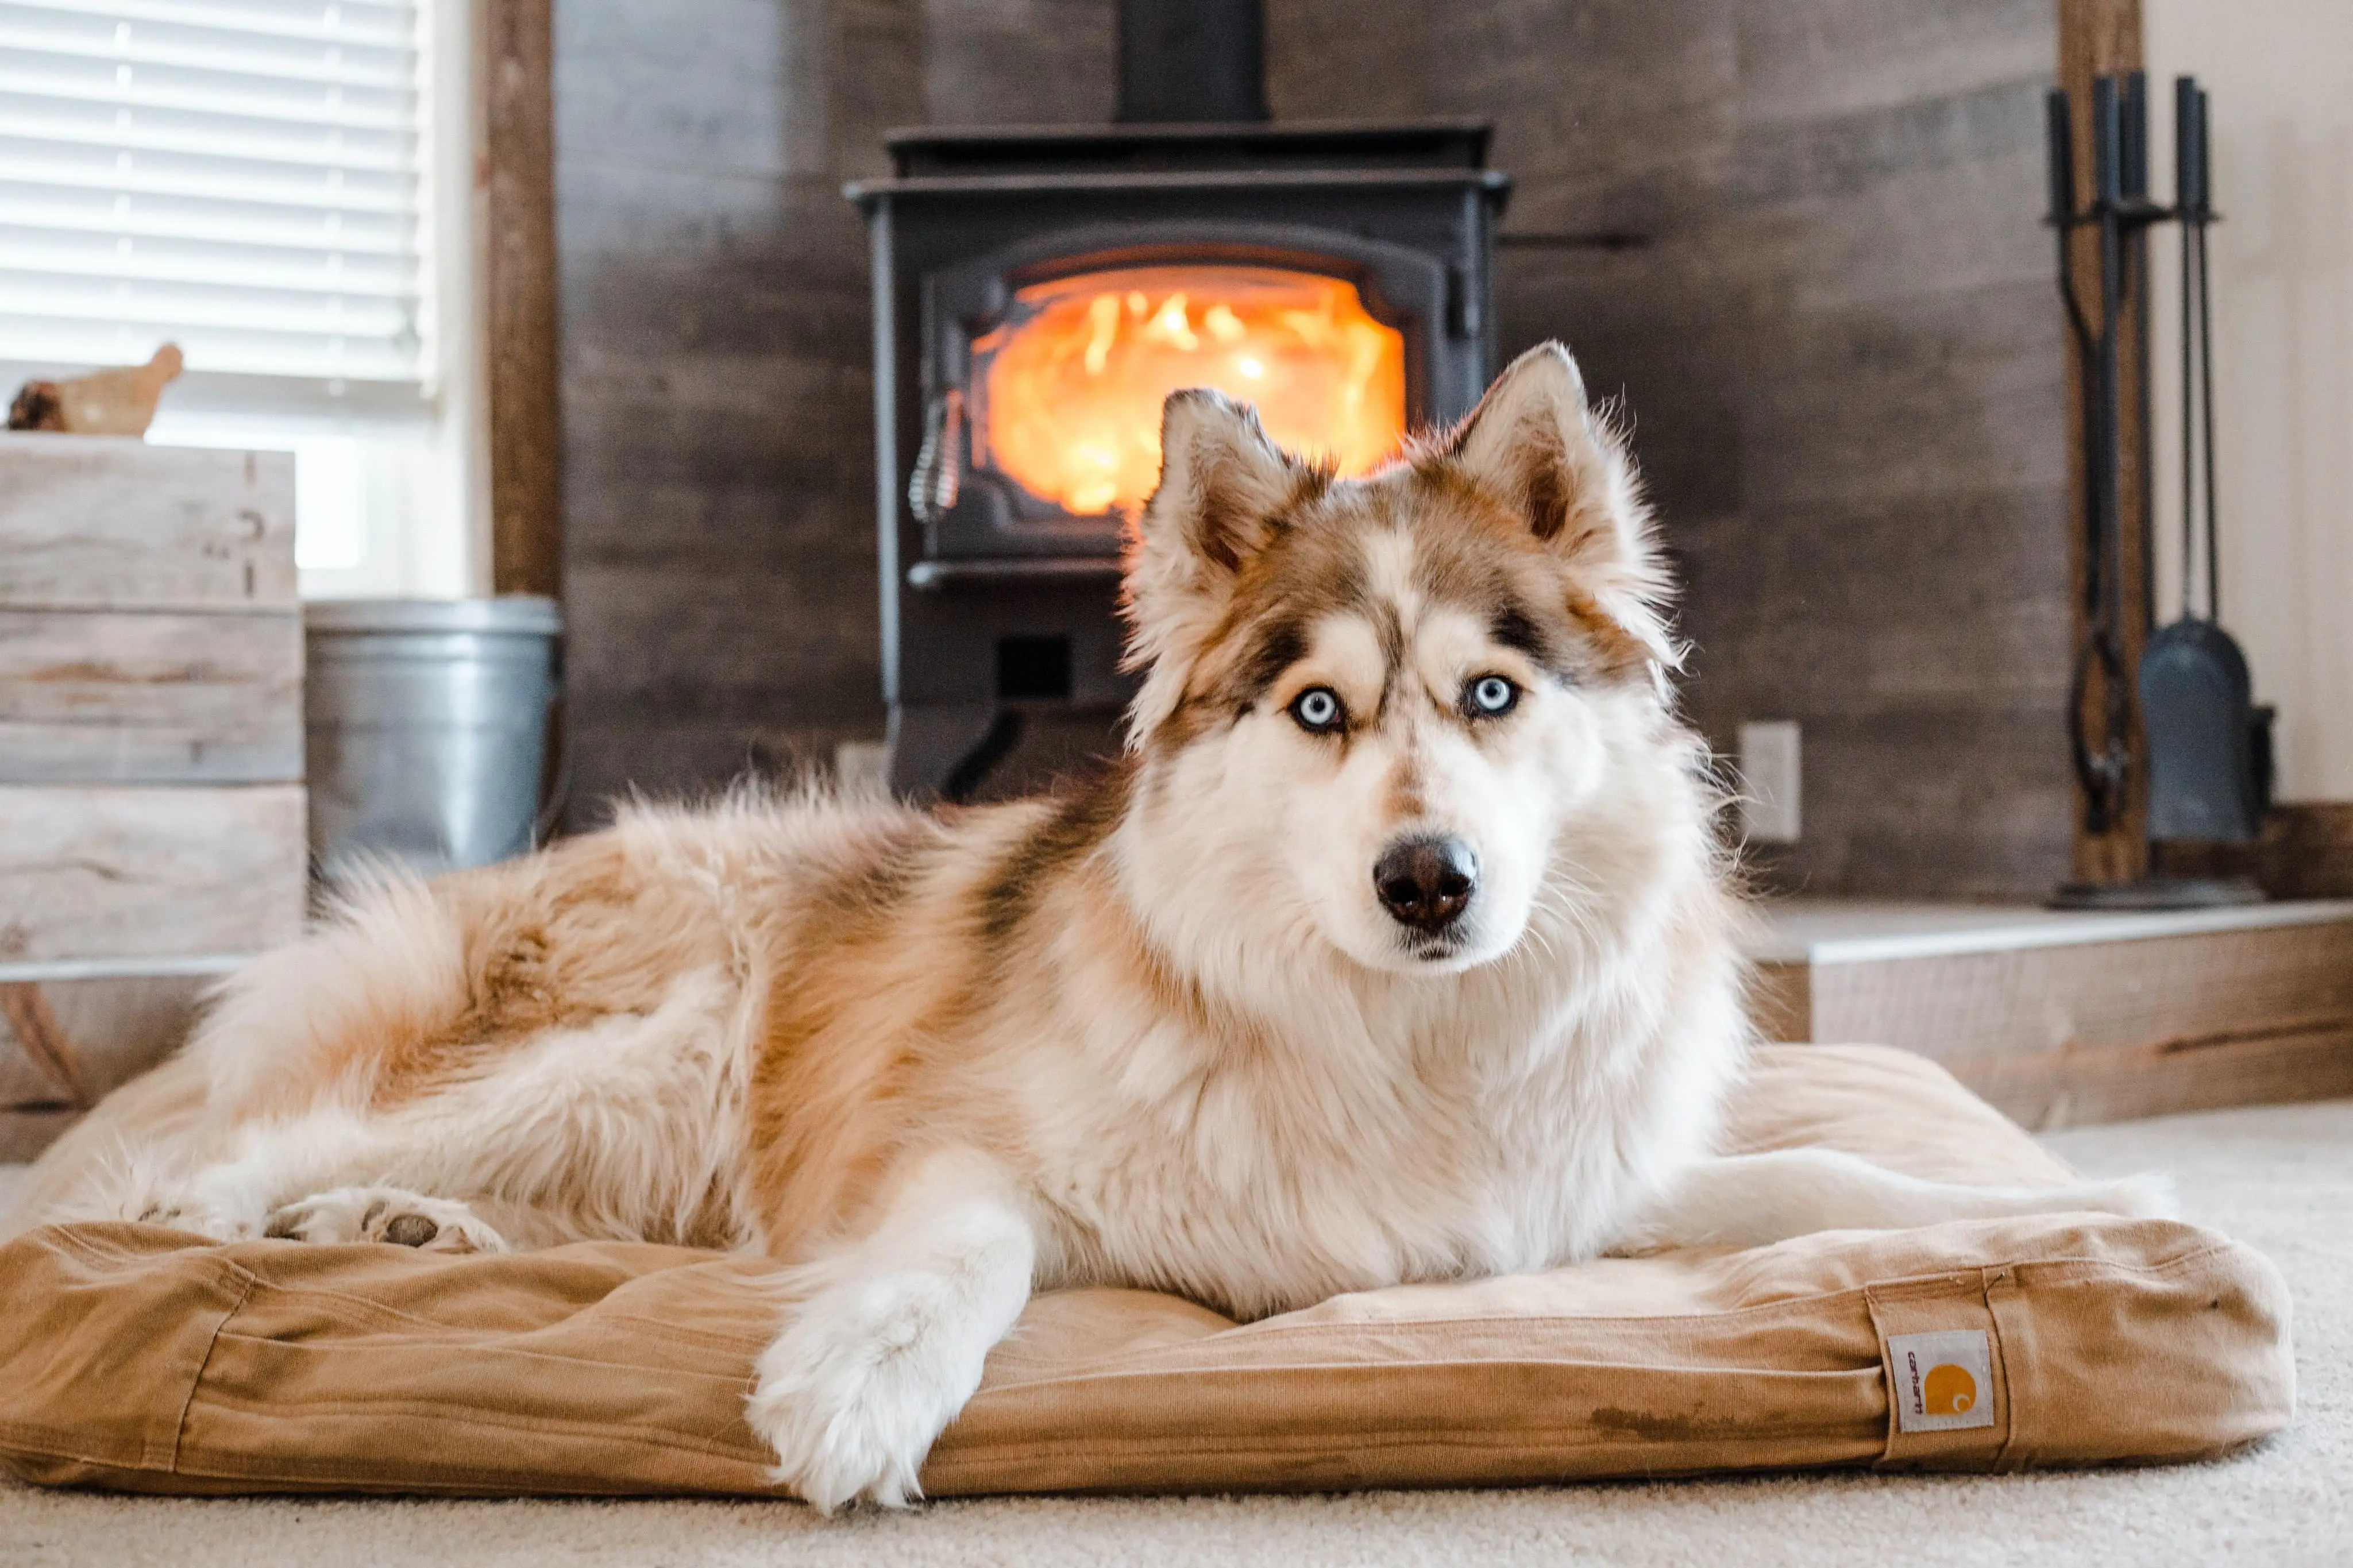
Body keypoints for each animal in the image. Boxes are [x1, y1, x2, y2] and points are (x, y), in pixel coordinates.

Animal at [32, 343, 2165, 1504]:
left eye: (1489, 695)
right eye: (1319, 712)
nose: (1430, 883)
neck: (1392, 1037)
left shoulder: (1570, 1203)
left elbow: (1825, 1180)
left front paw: (2054, 1208)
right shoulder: (952, 1142)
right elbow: (955, 1244)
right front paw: (864, 1379)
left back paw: (412, 1234)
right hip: (668, 1052)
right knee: (266, 1143)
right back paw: (252, 1214)